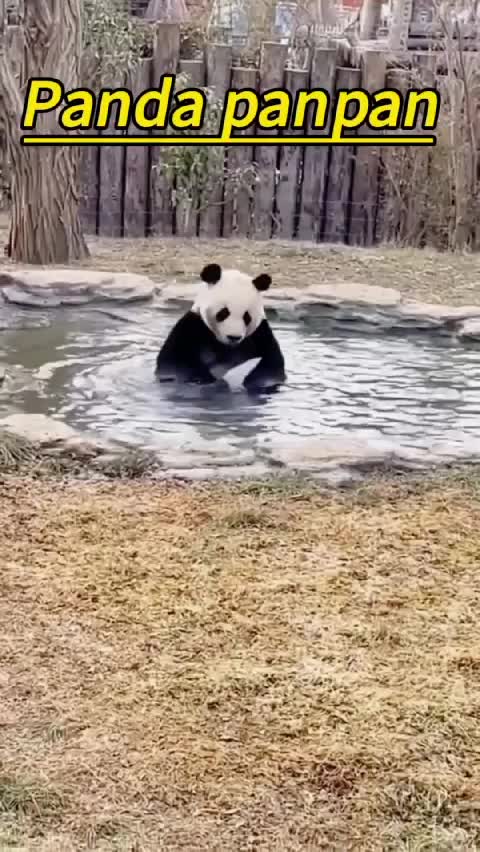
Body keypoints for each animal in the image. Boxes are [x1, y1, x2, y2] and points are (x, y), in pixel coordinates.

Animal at [155, 263, 286, 392]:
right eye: (223, 313)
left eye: (247, 316)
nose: (234, 337)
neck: (226, 346)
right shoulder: (193, 326)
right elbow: (174, 364)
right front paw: (203, 379)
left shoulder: (260, 334)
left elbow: (272, 366)